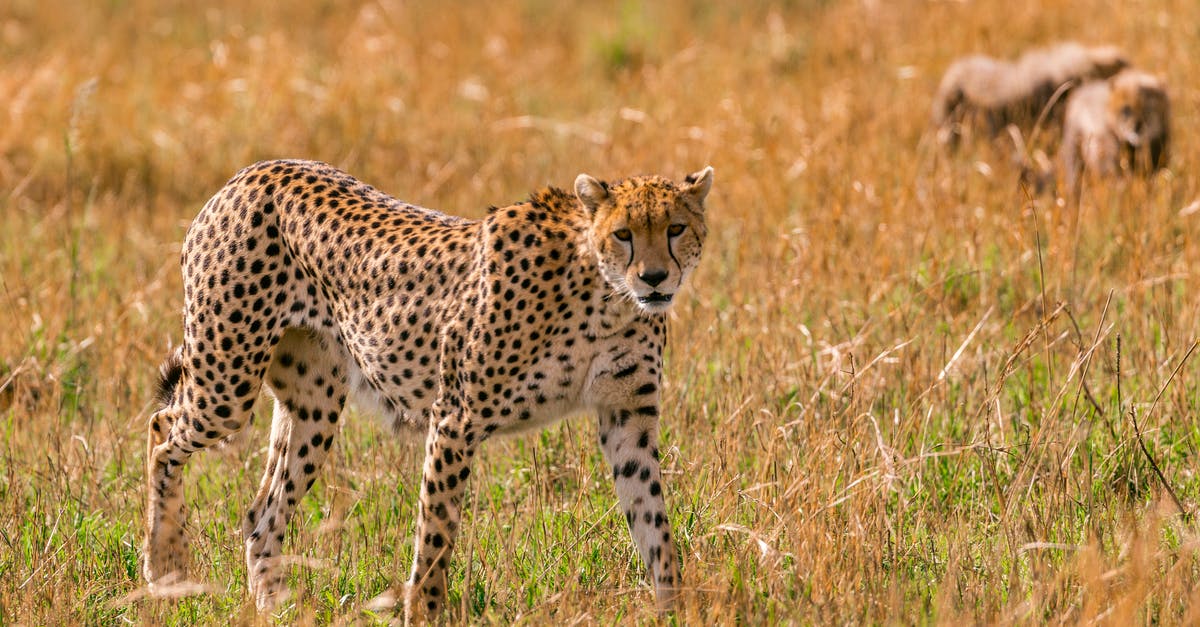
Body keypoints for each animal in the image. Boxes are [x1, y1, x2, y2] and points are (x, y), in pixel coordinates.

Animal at [145, 156, 715, 614]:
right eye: (624, 234)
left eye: (676, 228)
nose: (655, 279)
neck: (606, 296)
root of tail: (252, 171)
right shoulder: (455, 419)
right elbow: (436, 534)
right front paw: (422, 612)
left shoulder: (627, 419)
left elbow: (654, 522)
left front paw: (672, 607)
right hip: (227, 385)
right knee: (161, 430)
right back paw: (165, 567)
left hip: (314, 405)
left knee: (261, 514)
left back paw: (272, 606)